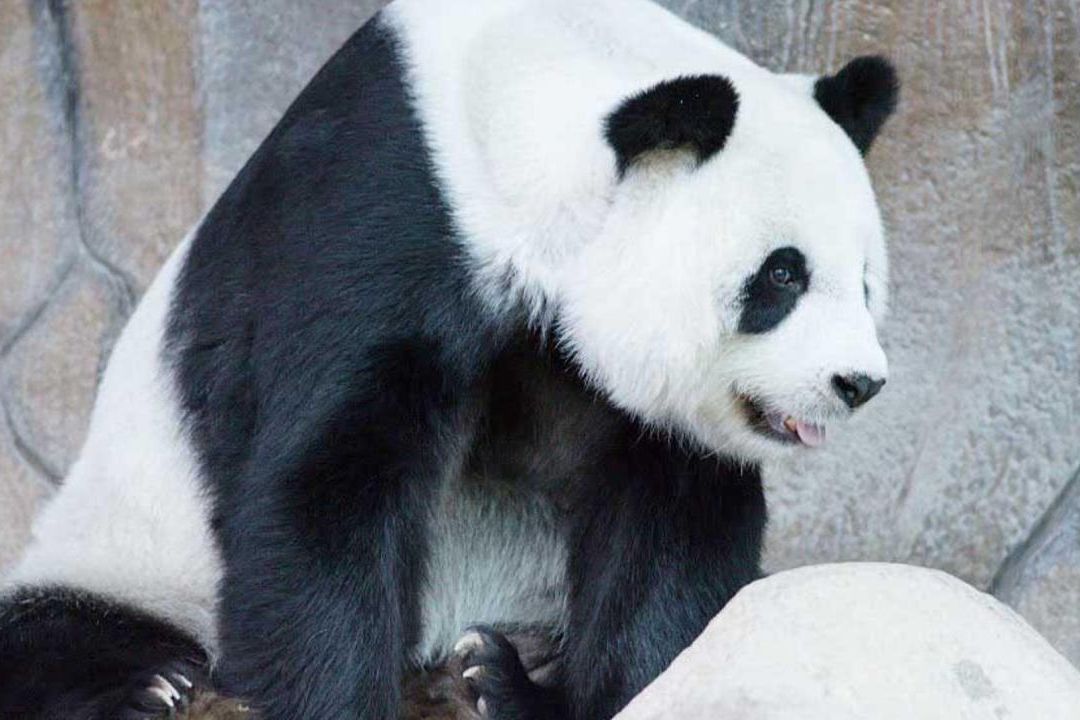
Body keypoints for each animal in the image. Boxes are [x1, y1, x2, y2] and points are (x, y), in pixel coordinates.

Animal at [0, 0, 898, 718]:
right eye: (782, 275)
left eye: (863, 281)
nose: (857, 384)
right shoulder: (378, 212)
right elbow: (323, 482)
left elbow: (671, 529)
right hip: (127, 550)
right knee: (53, 628)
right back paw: (147, 686)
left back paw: (495, 676)